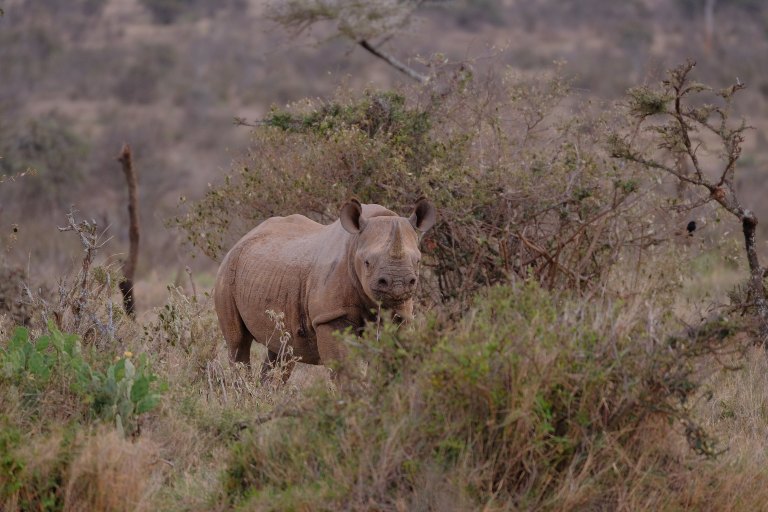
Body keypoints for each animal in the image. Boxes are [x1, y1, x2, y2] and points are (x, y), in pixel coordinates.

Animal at [213, 198, 436, 382]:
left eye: (418, 261)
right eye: (367, 262)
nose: (398, 284)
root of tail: (242, 239)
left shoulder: (401, 316)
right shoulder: (330, 316)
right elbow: (342, 367)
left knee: (283, 351)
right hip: (226, 272)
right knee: (238, 343)